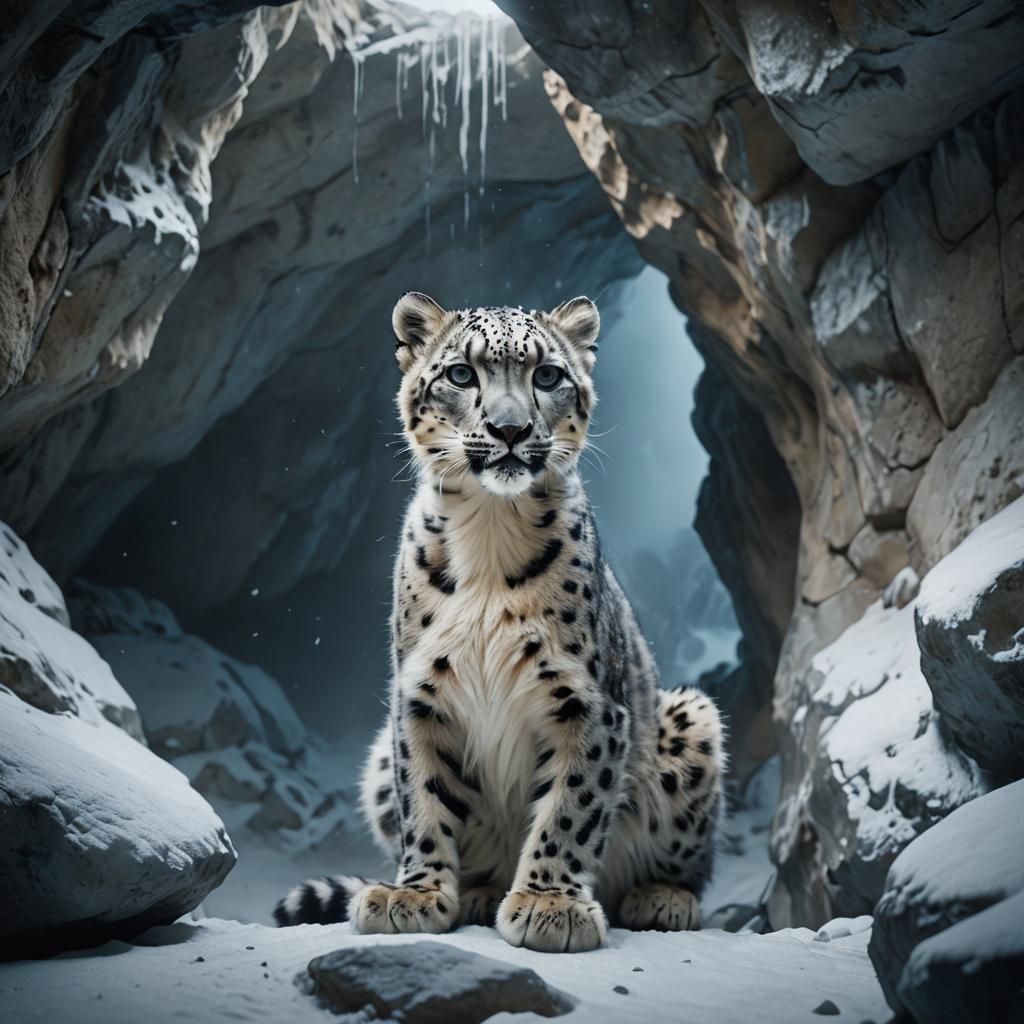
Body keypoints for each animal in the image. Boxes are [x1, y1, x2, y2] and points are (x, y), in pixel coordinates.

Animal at [274, 292, 725, 953]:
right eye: (463, 374)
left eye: (548, 376)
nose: (510, 430)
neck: (489, 529)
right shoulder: (419, 698)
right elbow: (424, 801)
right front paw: (415, 895)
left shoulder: (588, 704)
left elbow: (571, 807)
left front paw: (549, 904)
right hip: (377, 760)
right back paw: (479, 892)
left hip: (691, 718)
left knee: (683, 862)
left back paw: (662, 899)